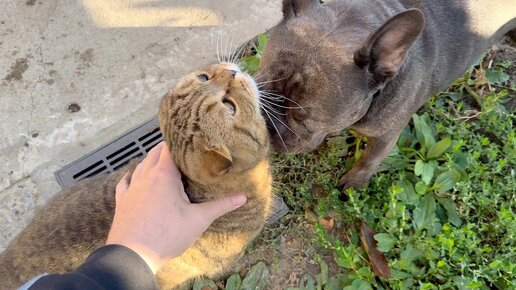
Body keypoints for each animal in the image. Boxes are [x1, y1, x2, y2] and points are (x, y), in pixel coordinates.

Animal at [258, 0, 516, 190]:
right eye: (259, 89)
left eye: (302, 117)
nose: (267, 122)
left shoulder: (386, 138)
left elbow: (368, 160)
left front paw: (354, 183)